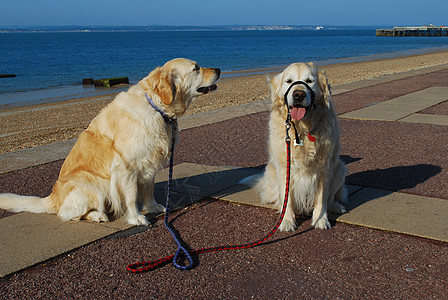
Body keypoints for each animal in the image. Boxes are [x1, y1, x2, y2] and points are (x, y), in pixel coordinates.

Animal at [0, 58, 220, 225]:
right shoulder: (126, 167)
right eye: (196, 68)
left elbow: (148, 189)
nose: (218, 69)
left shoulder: (150, 162)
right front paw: (136, 217)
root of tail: (54, 197)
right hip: (93, 183)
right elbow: (130, 196)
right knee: (67, 214)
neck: (157, 108)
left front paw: (153, 207)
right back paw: (97, 215)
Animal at [248, 62, 346, 231]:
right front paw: (286, 221)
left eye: (310, 81)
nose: (298, 95)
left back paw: (336, 206)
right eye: (288, 81)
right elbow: (286, 199)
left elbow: (321, 199)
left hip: (340, 168)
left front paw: (321, 220)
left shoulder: (324, 169)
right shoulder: (285, 168)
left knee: (331, 197)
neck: (302, 130)